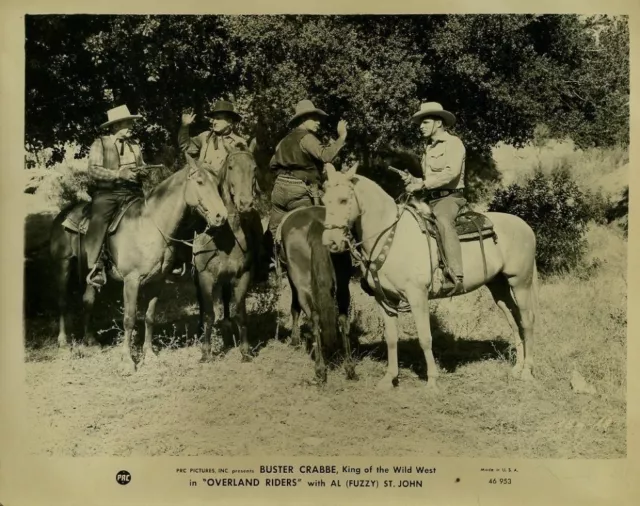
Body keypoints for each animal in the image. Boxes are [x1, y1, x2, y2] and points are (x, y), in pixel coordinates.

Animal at [50, 156, 230, 374]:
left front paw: (149, 355)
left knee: (88, 300)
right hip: (62, 266)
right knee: (62, 302)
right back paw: (63, 343)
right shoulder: (131, 281)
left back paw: (90, 341)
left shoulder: (158, 281)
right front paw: (127, 361)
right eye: (200, 182)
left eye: (218, 185)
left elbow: (150, 317)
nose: (221, 216)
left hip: (89, 271)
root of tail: (63, 214)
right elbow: (129, 319)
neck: (150, 225)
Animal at [276, 204, 356, 382]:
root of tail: (316, 224)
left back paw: (320, 369)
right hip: (343, 284)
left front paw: (294, 340)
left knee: (315, 318)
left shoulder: (292, 280)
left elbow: (294, 308)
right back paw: (349, 367)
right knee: (342, 318)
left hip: (302, 282)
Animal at [318, 162, 536, 392]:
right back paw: (517, 368)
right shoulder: (384, 299)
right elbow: (391, 338)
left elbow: (425, 338)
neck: (392, 237)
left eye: (343, 200)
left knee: (527, 321)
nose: (330, 242)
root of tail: (525, 225)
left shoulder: (417, 296)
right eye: (324, 200)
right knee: (513, 320)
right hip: (498, 286)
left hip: (520, 282)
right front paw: (389, 379)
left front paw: (432, 382)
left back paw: (527, 372)